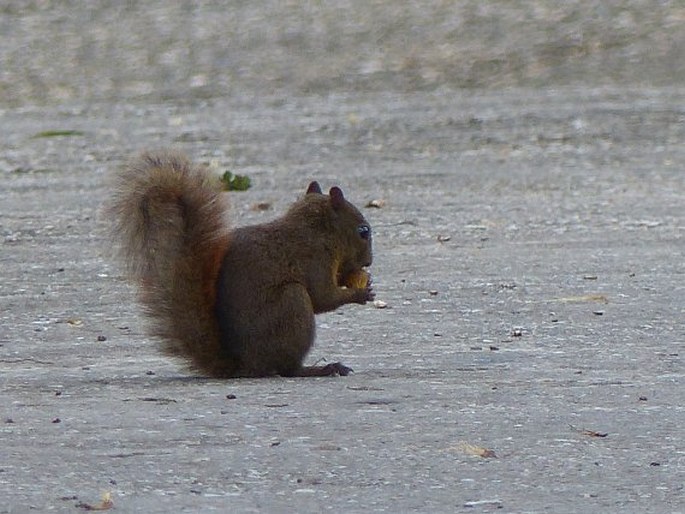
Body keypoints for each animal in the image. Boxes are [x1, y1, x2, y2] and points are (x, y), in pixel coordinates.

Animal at [107, 148, 374, 376]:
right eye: (363, 231)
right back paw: (320, 368)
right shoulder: (315, 259)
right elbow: (322, 297)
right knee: (287, 368)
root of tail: (244, 365)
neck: (316, 230)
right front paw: (360, 294)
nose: (369, 262)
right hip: (292, 303)